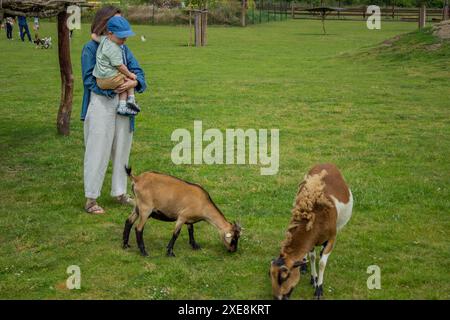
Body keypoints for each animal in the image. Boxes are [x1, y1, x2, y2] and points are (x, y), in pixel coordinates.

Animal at [268, 164, 354, 302]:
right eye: (270, 275)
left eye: (285, 277)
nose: (277, 298)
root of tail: (326, 163)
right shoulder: (311, 240)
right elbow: (312, 257)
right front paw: (313, 278)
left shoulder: (332, 238)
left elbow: (322, 263)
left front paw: (319, 289)